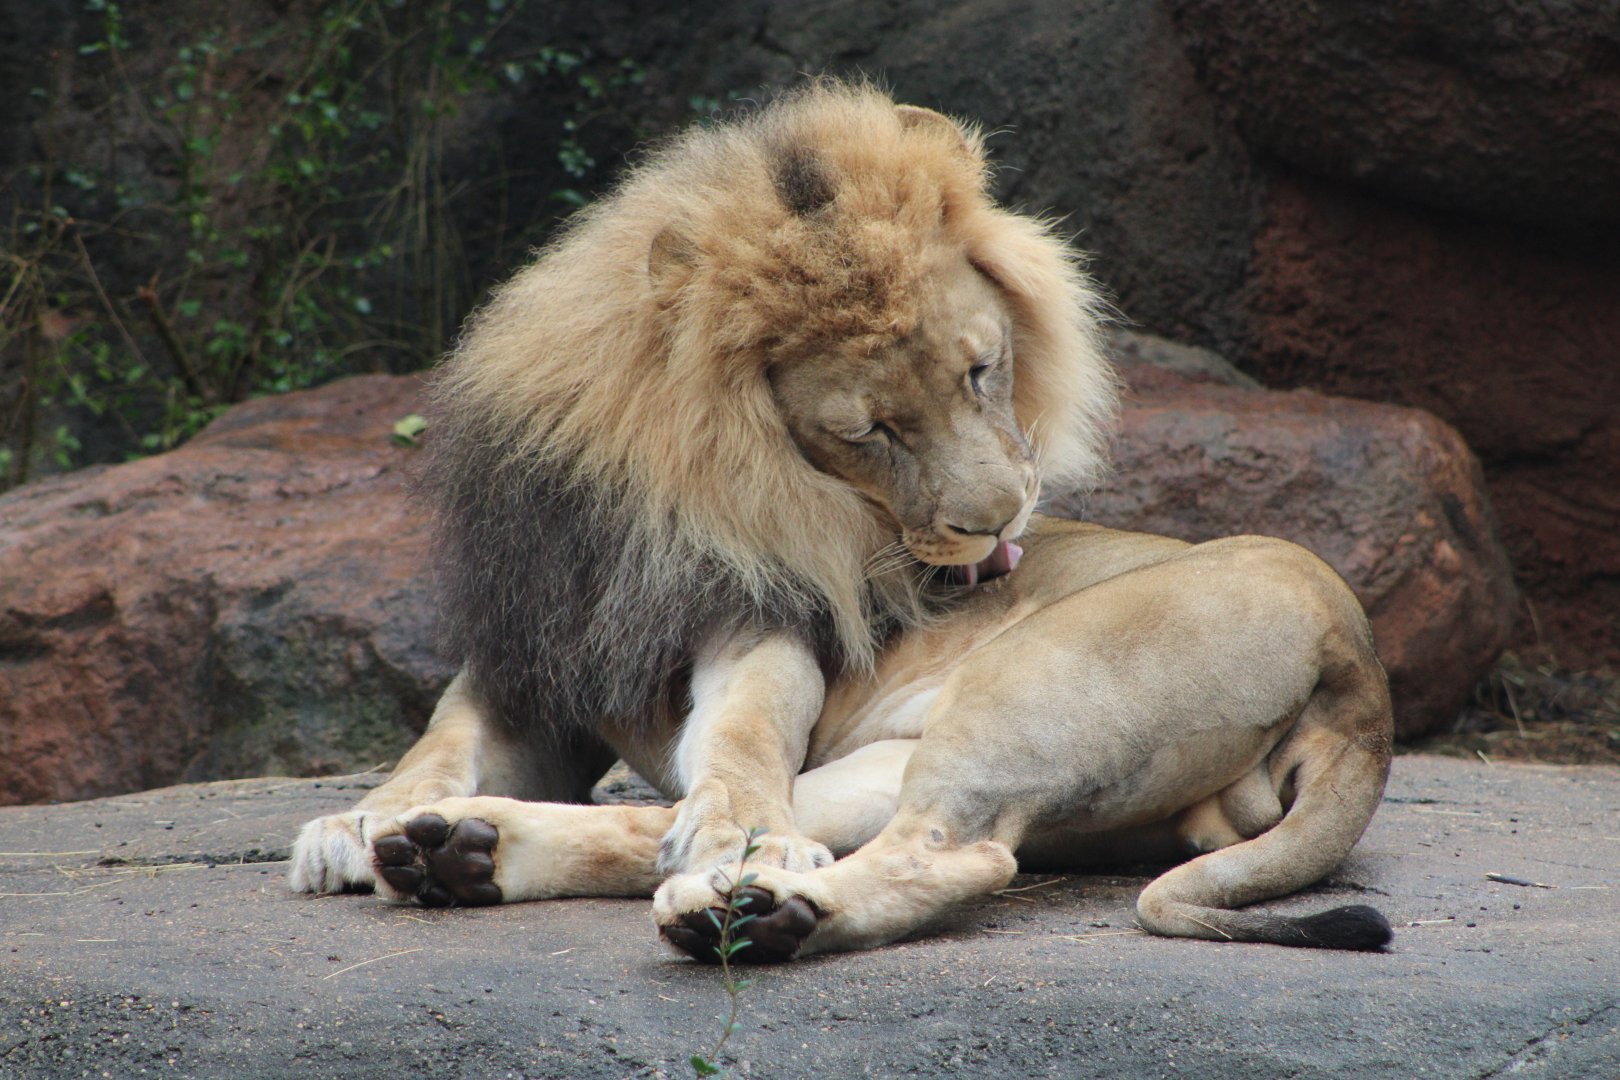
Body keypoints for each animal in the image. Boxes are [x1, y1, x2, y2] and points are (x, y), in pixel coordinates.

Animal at [288, 80, 1395, 959]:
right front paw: (362, 820)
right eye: (871, 430)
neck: (642, 512)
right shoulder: (530, 649)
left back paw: (755, 902)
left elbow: (743, 730)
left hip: (1022, 691)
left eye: (982, 371)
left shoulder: (767, 623)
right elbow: (441, 740)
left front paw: (737, 828)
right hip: (907, 757)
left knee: (951, 852)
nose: (1000, 524)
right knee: (687, 826)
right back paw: (459, 848)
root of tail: (1361, 680)